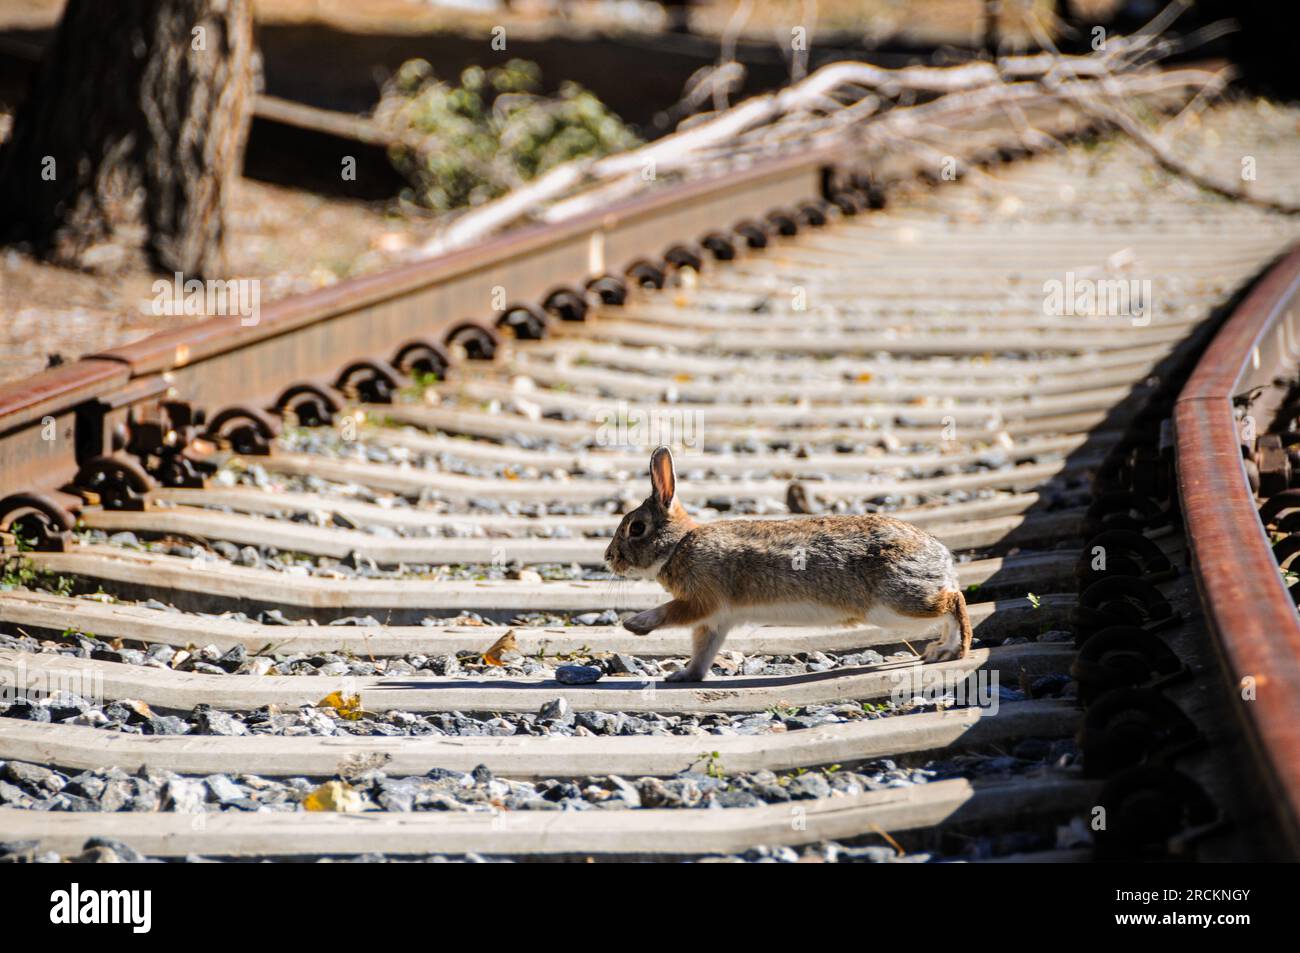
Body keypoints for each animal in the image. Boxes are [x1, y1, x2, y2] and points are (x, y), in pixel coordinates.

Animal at [603, 444, 972, 676]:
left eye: (636, 528)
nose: (609, 558)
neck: (678, 545)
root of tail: (941, 558)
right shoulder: (716, 620)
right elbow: (703, 650)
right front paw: (683, 676)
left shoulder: (702, 600)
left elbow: (670, 613)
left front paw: (634, 624)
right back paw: (940, 649)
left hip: (893, 603)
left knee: (954, 601)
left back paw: (954, 650)